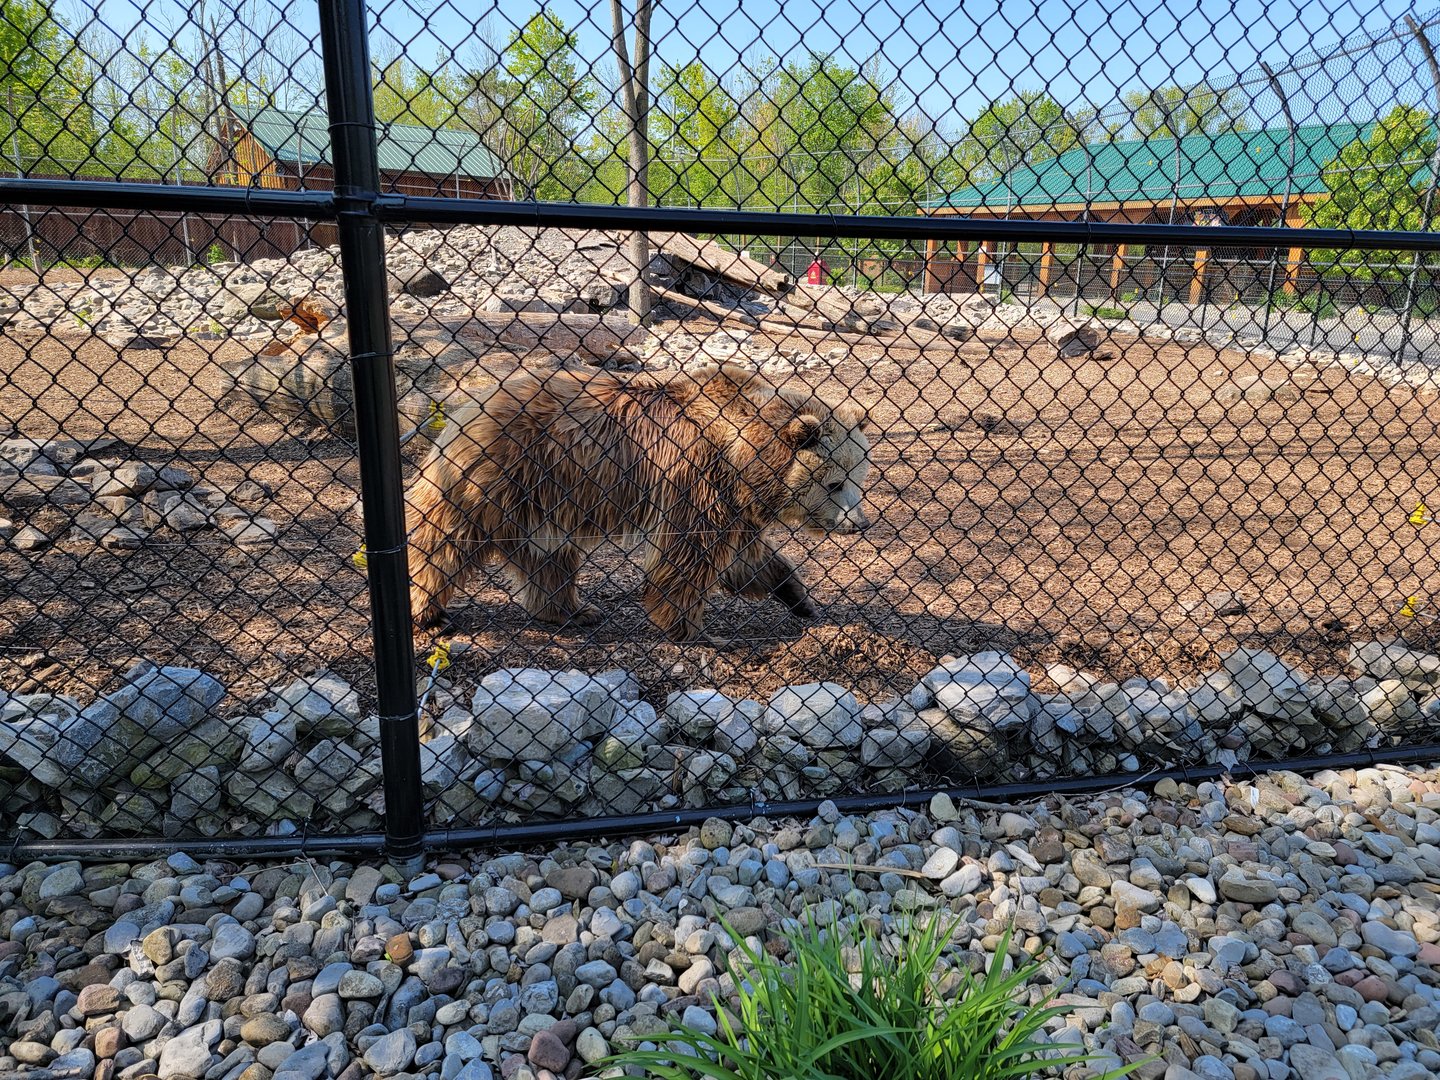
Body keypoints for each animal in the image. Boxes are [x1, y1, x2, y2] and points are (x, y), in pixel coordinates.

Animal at [404, 362, 871, 642]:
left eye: (859, 478)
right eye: (834, 483)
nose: (859, 522)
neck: (743, 455)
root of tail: (465, 410)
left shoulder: (735, 502)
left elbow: (745, 559)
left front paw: (799, 598)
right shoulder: (697, 477)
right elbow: (687, 554)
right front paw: (692, 629)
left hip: (538, 503)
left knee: (548, 558)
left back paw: (573, 610)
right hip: (500, 475)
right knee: (440, 538)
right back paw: (427, 612)